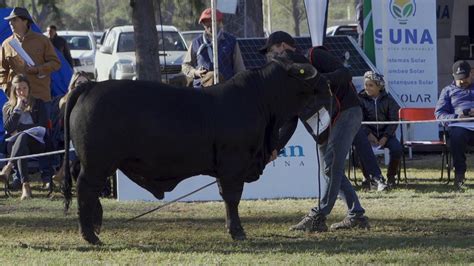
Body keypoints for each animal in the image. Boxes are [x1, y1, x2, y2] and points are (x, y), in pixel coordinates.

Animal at [64, 57, 326, 244]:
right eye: (306, 74)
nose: (327, 83)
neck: (260, 100)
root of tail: (91, 86)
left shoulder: (224, 168)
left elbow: (227, 197)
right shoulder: (233, 164)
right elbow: (233, 197)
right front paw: (238, 232)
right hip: (97, 163)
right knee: (85, 190)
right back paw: (90, 236)